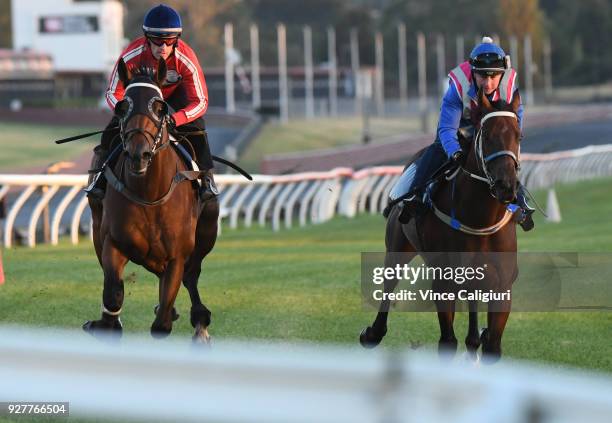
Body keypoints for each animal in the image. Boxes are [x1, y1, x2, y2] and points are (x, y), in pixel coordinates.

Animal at [85, 58, 220, 342]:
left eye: (160, 108)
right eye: (123, 106)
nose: (139, 154)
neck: (149, 195)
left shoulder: (177, 255)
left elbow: (162, 324)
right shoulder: (113, 243)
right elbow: (113, 294)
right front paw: (105, 323)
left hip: (206, 232)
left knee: (191, 276)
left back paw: (200, 322)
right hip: (97, 229)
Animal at [360, 90, 524, 364]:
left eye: (519, 135)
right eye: (487, 135)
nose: (506, 186)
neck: (479, 220)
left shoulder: (502, 285)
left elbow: (493, 347)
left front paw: (483, 338)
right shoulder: (443, 282)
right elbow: (447, 342)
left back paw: (474, 340)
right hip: (397, 247)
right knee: (389, 284)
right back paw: (373, 333)